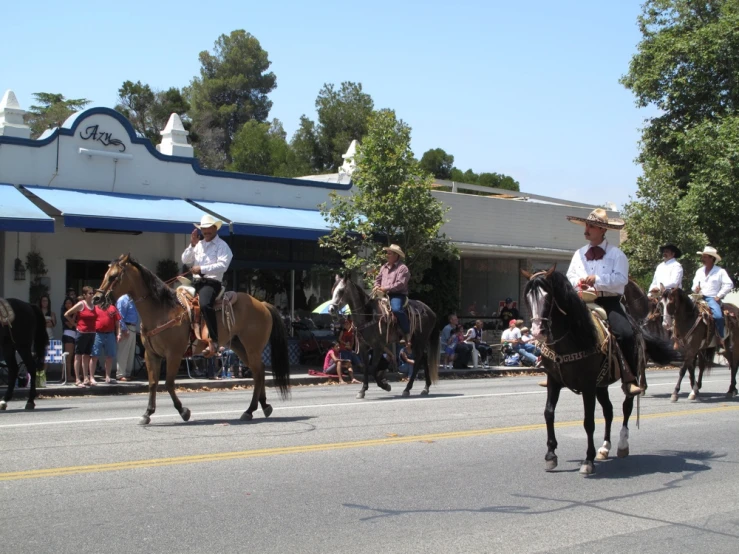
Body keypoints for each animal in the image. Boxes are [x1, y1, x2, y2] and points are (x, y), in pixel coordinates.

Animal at [92, 254, 290, 422]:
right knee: (259, 372)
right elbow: (153, 383)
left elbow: (169, 383)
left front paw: (183, 411)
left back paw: (250, 410)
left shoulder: (173, 354)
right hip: (240, 347)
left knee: (258, 372)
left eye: (113, 276)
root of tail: (262, 303)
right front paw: (147, 413)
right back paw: (262, 407)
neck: (161, 310)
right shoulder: (151, 355)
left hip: (252, 347)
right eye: (106, 274)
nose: (96, 299)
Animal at [524, 266, 680, 472]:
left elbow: (588, 421)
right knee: (609, 411)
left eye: (548, 296)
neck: (571, 339)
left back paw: (622, 444)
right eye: (528, 297)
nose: (537, 332)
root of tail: (636, 326)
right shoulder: (554, 381)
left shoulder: (588, 385)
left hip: (629, 378)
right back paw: (605, 447)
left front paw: (588, 460)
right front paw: (551, 455)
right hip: (602, 384)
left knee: (626, 407)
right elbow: (549, 413)